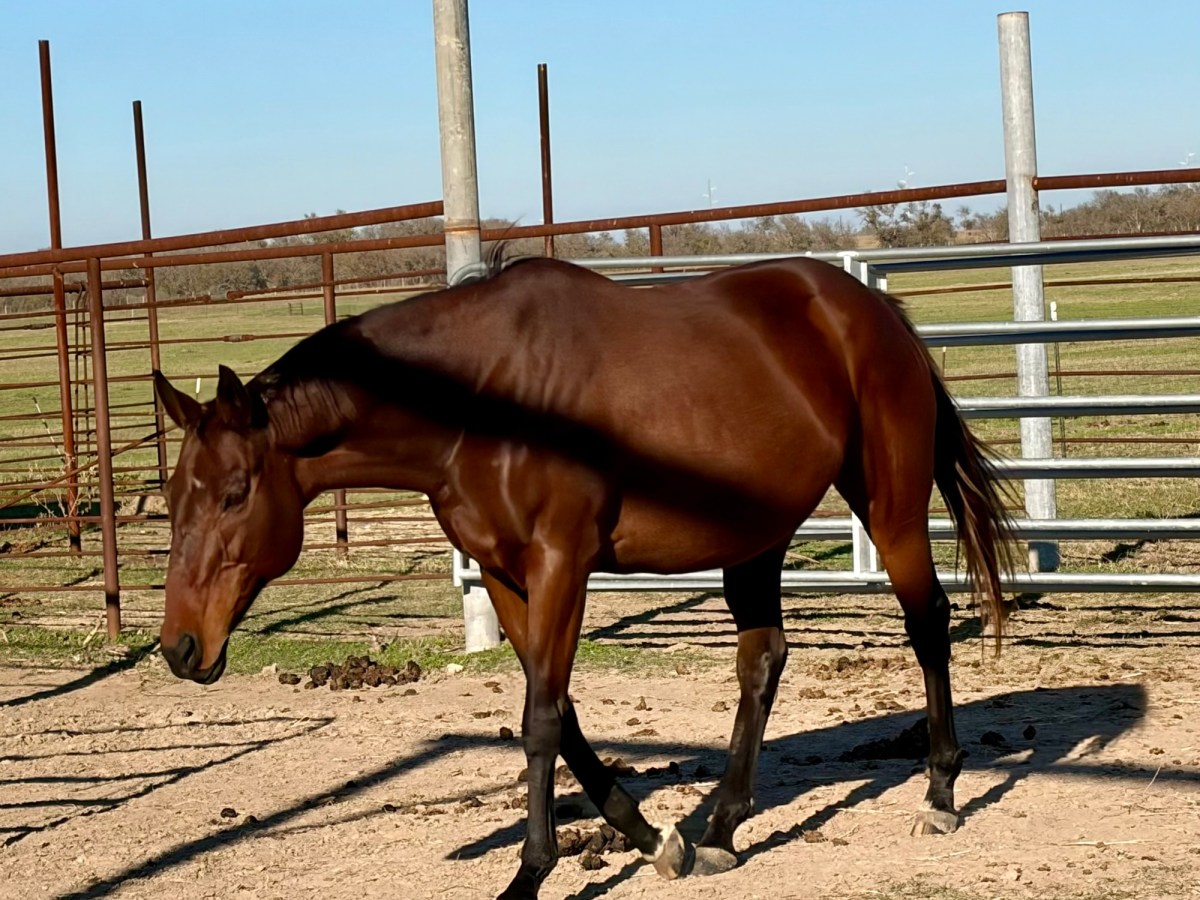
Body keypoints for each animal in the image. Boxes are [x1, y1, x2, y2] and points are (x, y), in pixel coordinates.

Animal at [153, 254, 1014, 900]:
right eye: (172, 497)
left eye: (234, 493)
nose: (179, 649)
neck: (487, 403)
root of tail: (870, 309)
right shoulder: (507, 575)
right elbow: (558, 712)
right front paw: (655, 840)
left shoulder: (560, 562)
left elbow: (540, 719)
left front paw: (529, 876)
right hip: (756, 537)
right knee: (762, 663)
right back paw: (722, 829)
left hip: (890, 509)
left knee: (928, 624)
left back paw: (940, 794)